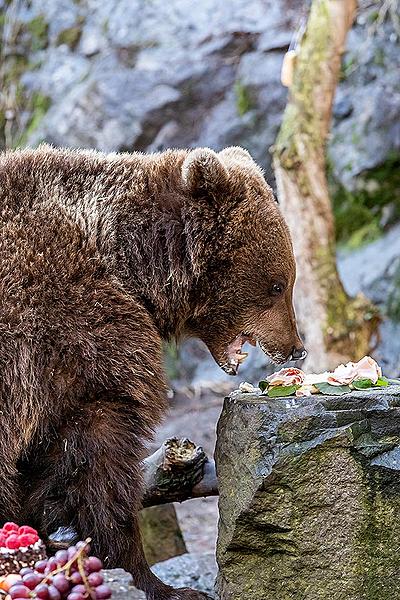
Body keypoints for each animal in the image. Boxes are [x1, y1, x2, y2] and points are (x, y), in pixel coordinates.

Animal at [0, 145, 304, 600]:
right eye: (277, 285)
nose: (296, 348)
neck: (130, 263)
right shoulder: (67, 332)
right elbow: (92, 458)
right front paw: (157, 582)